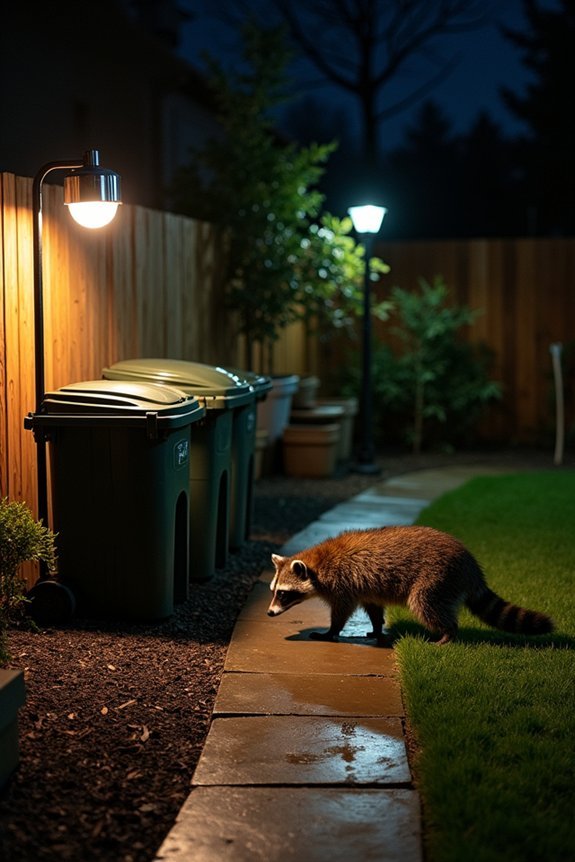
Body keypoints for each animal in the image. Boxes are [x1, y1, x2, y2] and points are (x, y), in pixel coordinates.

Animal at [268, 525, 553, 645]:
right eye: (273, 592)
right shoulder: (363, 586)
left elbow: (341, 612)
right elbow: (374, 608)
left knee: (425, 604)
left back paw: (448, 632)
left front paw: (331, 632)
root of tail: (471, 566)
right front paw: (377, 628)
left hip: (436, 578)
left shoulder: (342, 585)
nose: (269, 613)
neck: (317, 563)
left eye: (283, 594)